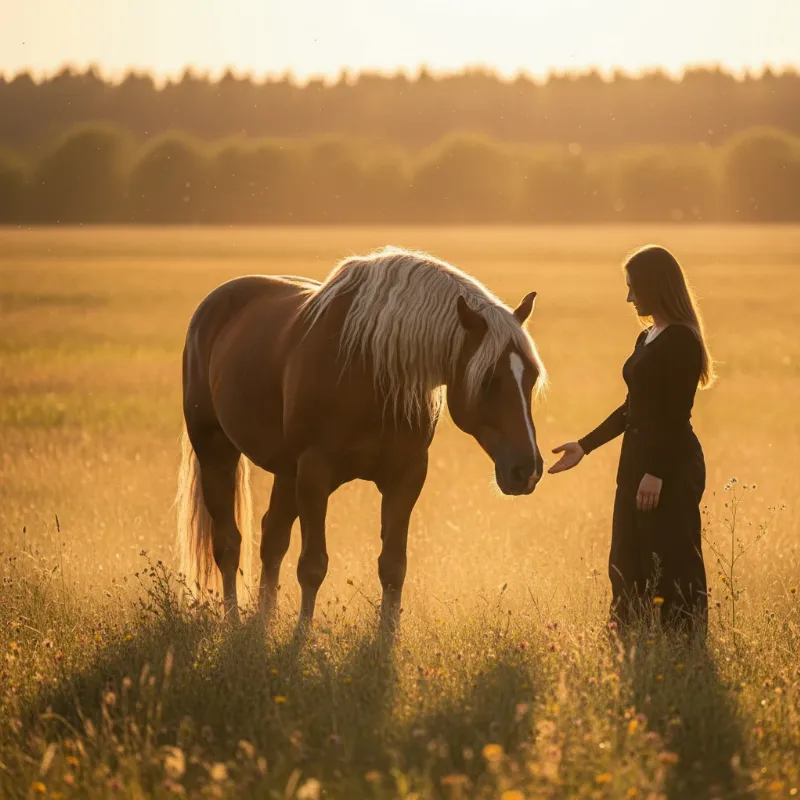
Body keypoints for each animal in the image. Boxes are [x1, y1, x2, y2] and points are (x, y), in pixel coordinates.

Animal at [175, 246, 547, 627]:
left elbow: (393, 567)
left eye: (532, 376)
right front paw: (301, 636)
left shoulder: (407, 475)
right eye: (488, 381)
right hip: (216, 451)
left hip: (286, 472)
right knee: (228, 543)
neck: (371, 370)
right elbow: (312, 566)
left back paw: (264, 623)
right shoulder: (315, 471)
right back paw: (234, 622)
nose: (528, 469)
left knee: (272, 537)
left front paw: (386, 637)